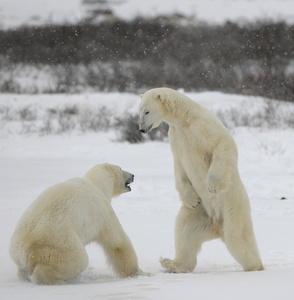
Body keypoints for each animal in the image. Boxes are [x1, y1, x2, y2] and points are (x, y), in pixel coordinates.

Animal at [9, 164, 141, 284]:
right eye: (121, 168)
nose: (133, 175)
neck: (95, 184)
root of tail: (24, 251)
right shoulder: (102, 209)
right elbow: (117, 242)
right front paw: (137, 273)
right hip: (57, 247)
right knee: (78, 260)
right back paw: (57, 280)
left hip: (17, 252)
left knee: (21, 270)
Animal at [138, 86, 264, 272]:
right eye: (138, 111)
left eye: (147, 111)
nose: (141, 129)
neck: (184, 118)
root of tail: (217, 227)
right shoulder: (175, 137)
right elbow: (179, 167)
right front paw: (191, 200)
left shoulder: (202, 125)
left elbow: (223, 142)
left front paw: (212, 184)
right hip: (200, 213)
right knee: (184, 230)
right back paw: (172, 263)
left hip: (233, 207)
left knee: (237, 237)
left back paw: (255, 267)